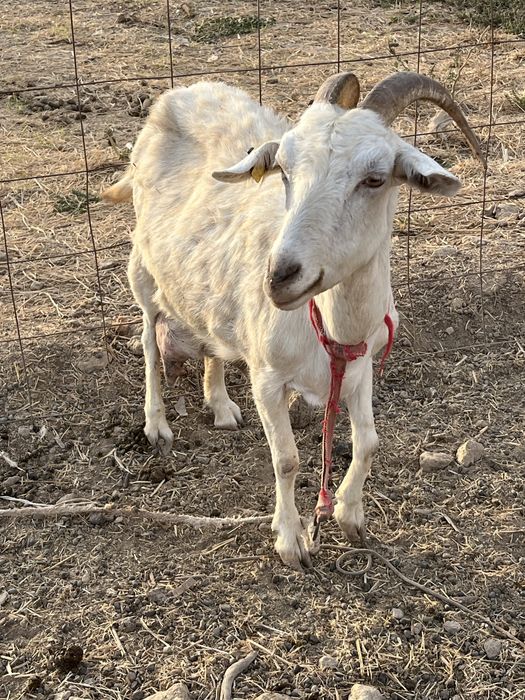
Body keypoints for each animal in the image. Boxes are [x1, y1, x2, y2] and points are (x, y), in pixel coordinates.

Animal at [103, 72, 482, 569]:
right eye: (283, 169)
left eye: (375, 179)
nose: (279, 276)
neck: (330, 325)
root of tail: (181, 92)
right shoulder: (267, 377)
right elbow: (286, 459)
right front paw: (291, 541)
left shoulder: (360, 367)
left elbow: (368, 442)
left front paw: (349, 517)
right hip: (143, 271)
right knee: (149, 342)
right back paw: (156, 425)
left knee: (211, 336)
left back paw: (220, 403)